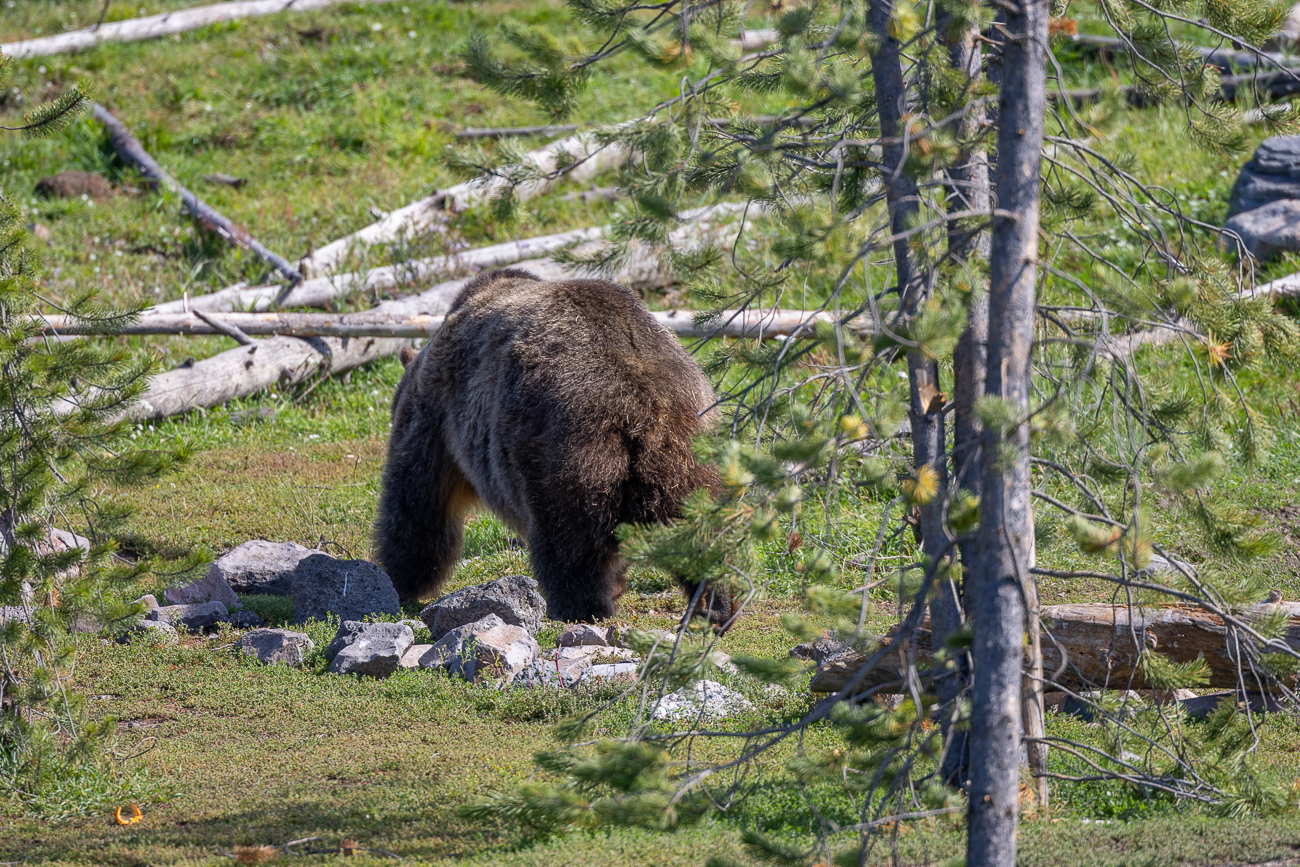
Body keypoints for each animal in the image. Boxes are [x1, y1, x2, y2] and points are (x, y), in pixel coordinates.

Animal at [374, 267, 733, 626]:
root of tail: (645, 409)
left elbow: (419, 500)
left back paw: (577, 608)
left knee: (567, 545)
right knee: (703, 532)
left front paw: (401, 580)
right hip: (693, 454)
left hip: (567, 456)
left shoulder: (436, 413)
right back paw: (716, 604)